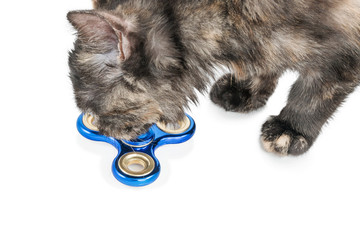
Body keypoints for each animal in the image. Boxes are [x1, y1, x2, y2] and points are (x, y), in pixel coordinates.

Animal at [67, 0, 360, 157]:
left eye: (95, 110)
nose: (101, 129)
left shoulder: (344, 45)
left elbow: (315, 91)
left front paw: (289, 129)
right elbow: (265, 60)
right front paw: (243, 90)